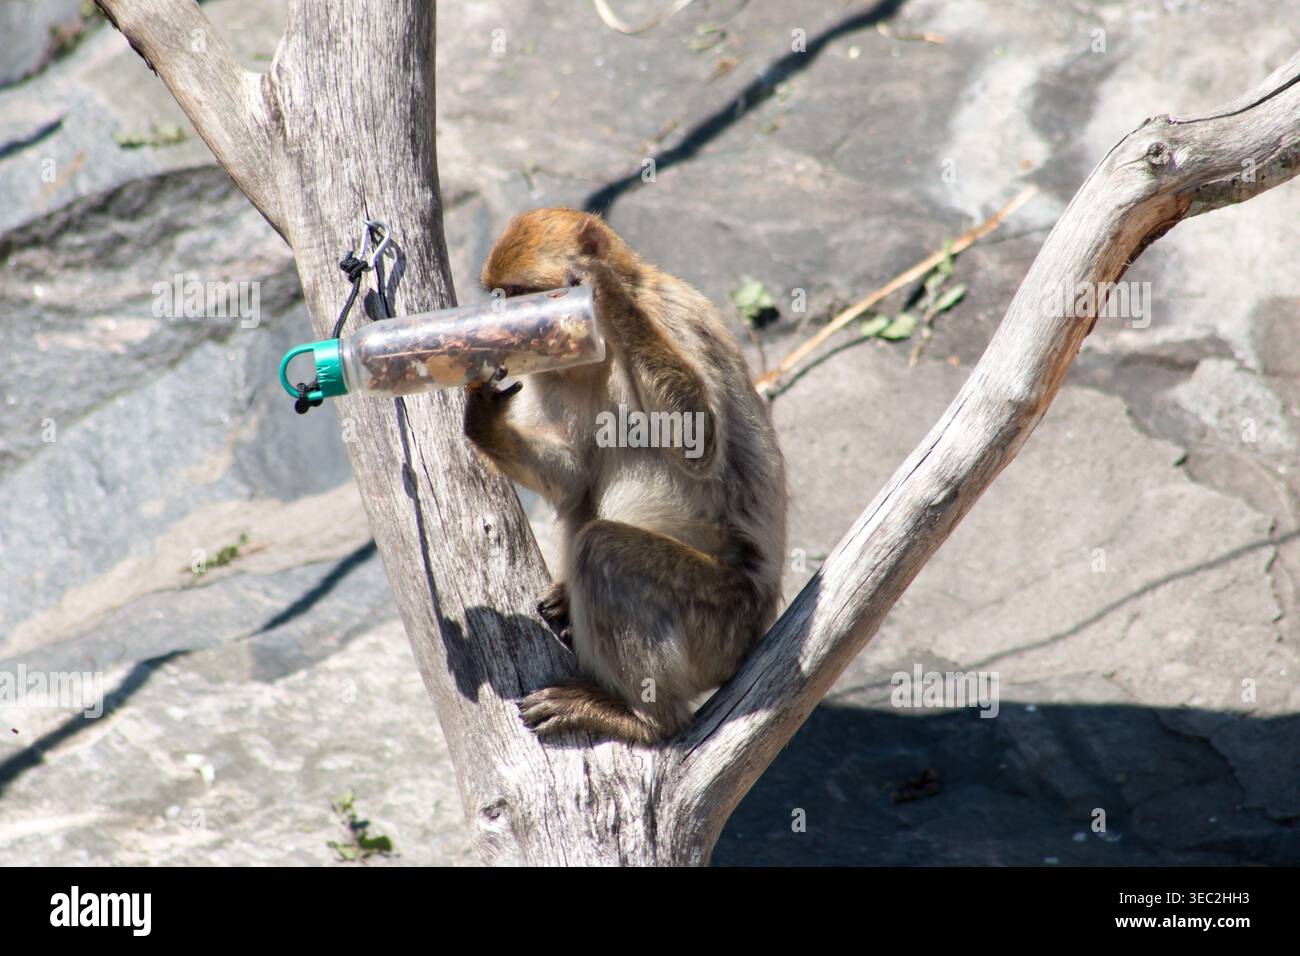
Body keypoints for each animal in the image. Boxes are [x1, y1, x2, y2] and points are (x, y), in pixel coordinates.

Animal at [464, 208, 787, 745]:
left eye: (521, 292)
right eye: (500, 293)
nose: (503, 325)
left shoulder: (676, 316)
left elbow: (701, 444)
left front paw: (604, 292)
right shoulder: (546, 371)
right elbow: (573, 480)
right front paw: (481, 414)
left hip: (721, 620)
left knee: (603, 551)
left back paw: (646, 720)